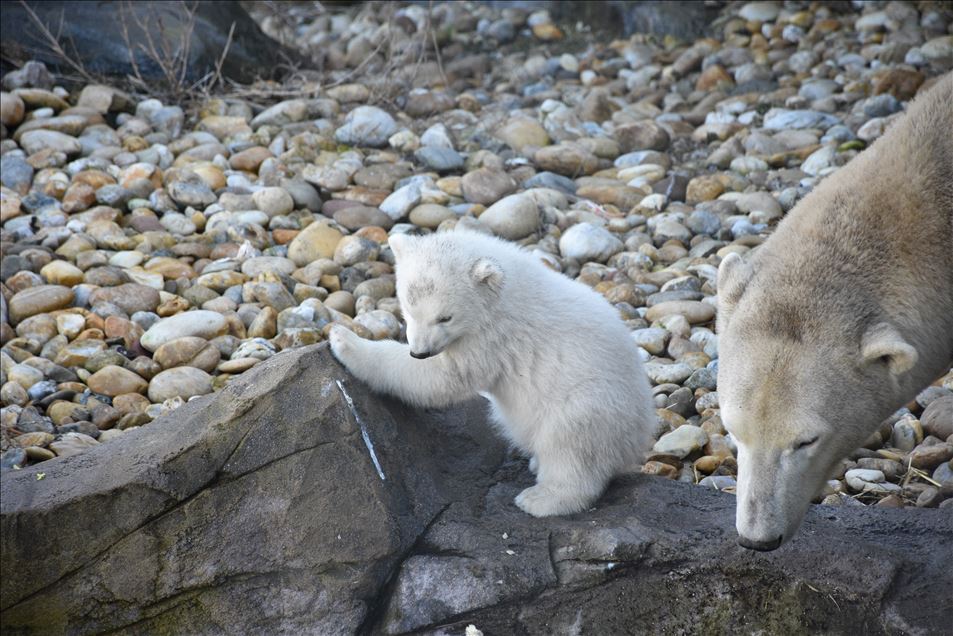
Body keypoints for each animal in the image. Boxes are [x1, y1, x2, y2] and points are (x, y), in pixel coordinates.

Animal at [330, 229, 656, 516]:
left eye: (445, 317)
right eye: (408, 308)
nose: (420, 351)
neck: (500, 295)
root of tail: (640, 437)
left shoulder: (492, 338)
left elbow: (442, 377)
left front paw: (344, 339)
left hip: (592, 404)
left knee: (572, 444)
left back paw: (540, 499)